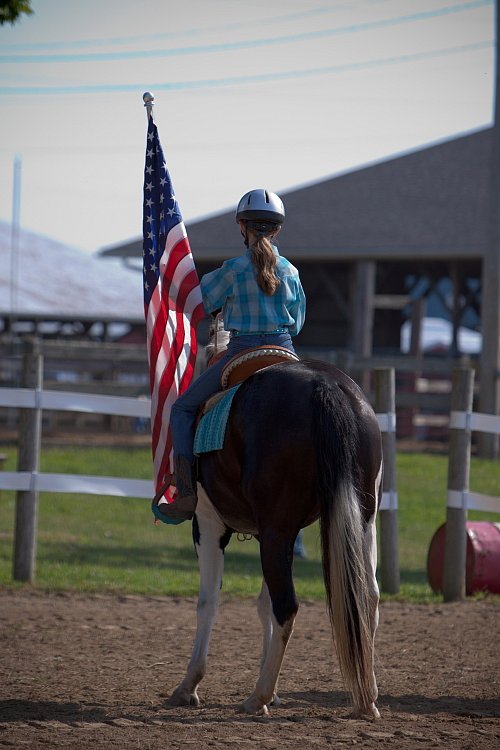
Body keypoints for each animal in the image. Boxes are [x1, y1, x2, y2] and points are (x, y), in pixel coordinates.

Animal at [168, 320, 382, 720]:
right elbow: (262, 605)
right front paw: (277, 692)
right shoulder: (276, 532)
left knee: (287, 606)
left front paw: (189, 685)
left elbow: (209, 601)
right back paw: (367, 699)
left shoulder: (209, 525)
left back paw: (258, 697)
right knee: (367, 597)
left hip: (275, 531)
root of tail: (324, 387)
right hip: (359, 520)